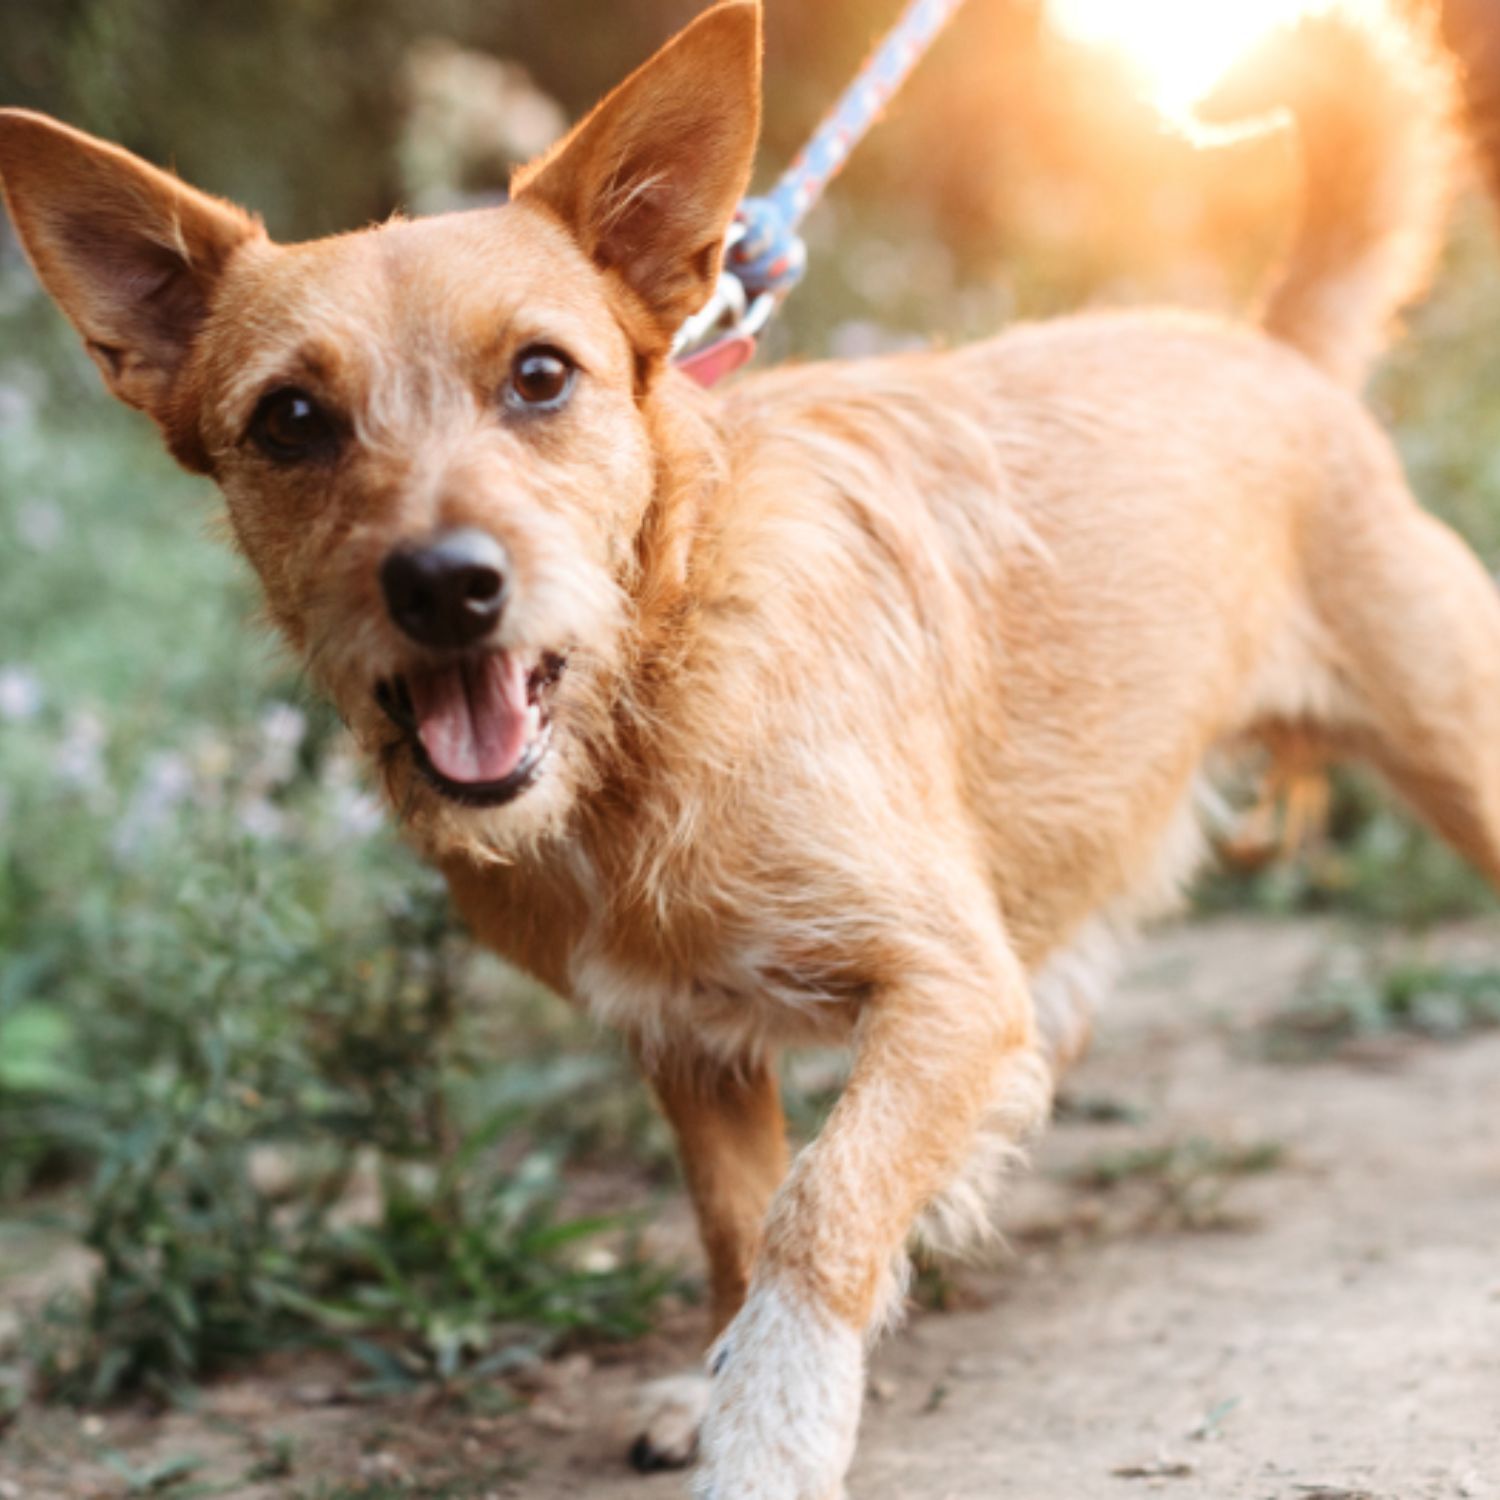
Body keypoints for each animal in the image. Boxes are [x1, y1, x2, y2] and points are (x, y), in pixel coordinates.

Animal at [2, 2, 1500, 1500]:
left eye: (539, 376)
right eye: (291, 421)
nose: (444, 585)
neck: (651, 698)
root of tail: (1276, 354)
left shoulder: (948, 989)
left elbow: (819, 1203)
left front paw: (772, 1428)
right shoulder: (691, 1043)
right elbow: (736, 1217)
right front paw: (722, 1377)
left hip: (1455, 755)